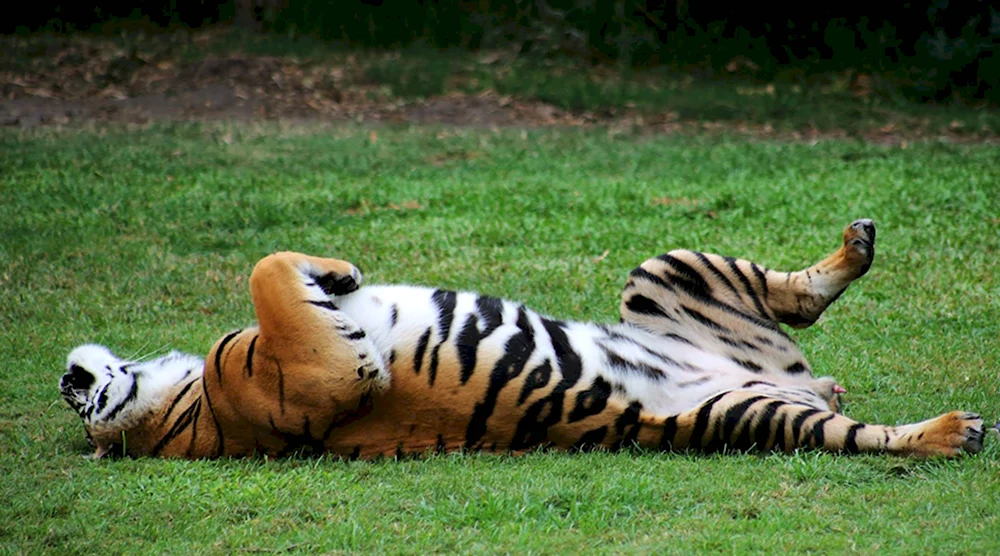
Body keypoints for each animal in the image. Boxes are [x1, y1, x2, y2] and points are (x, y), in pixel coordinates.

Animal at [59, 219, 987, 459]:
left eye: (80, 400)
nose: (67, 373)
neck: (192, 412)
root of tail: (795, 381)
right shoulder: (322, 369)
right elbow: (264, 266)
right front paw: (341, 272)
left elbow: (269, 268)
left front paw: (339, 274)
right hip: (754, 414)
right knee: (860, 433)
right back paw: (953, 433)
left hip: (665, 268)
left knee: (799, 294)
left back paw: (857, 243)